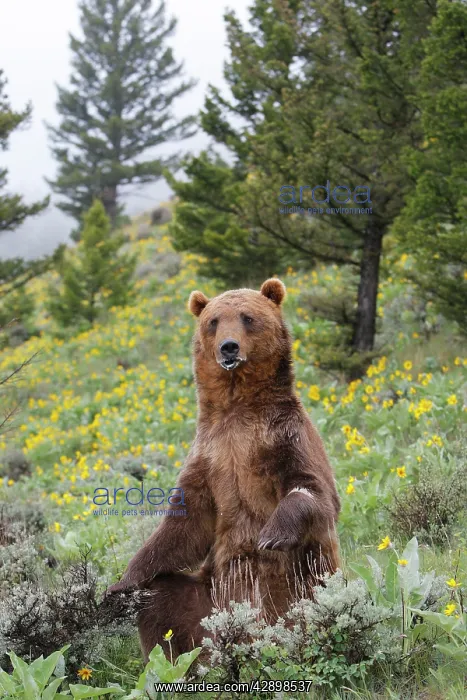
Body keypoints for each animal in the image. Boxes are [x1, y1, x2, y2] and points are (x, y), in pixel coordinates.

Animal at [107, 278, 340, 661]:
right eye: (213, 321)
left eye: (247, 317)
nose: (228, 347)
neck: (237, 411)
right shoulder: (210, 456)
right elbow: (183, 525)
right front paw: (119, 585)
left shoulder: (284, 439)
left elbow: (312, 490)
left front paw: (271, 533)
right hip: (208, 599)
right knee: (160, 600)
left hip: (298, 585)